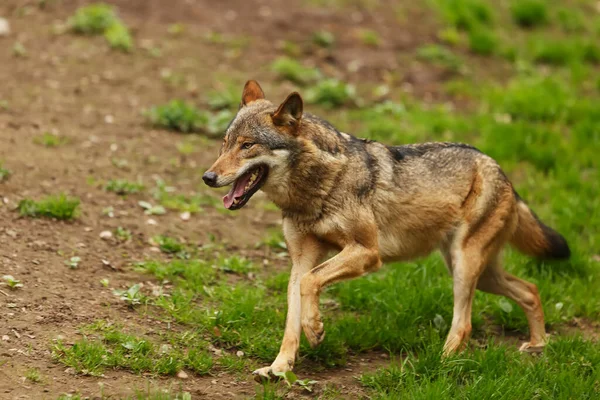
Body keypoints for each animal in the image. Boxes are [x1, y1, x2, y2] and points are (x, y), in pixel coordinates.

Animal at [200, 79, 568, 380]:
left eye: (248, 146)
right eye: (225, 143)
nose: (208, 177)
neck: (318, 187)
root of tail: (502, 172)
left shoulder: (366, 252)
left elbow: (311, 285)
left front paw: (316, 330)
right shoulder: (301, 261)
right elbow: (293, 317)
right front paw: (278, 368)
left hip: (465, 269)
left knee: (465, 324)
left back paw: (441, 363)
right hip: (478, 272)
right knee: (530, 289)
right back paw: (538, 345)